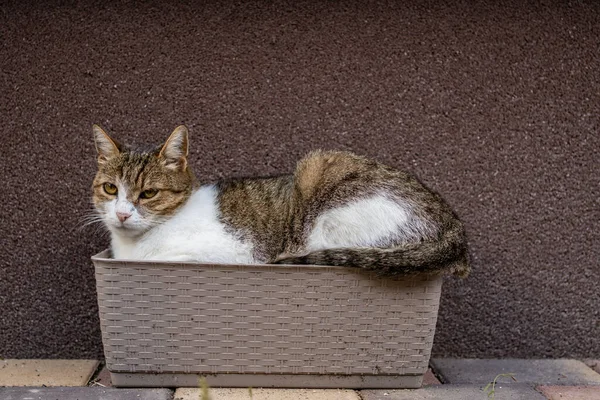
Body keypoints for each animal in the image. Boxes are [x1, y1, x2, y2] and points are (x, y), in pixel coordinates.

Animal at [91, 123, 472, 276]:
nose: (122, 214)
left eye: (148, 193)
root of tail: (454, 222)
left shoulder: (236, 252)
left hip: (320, 179)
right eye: (110, 189)